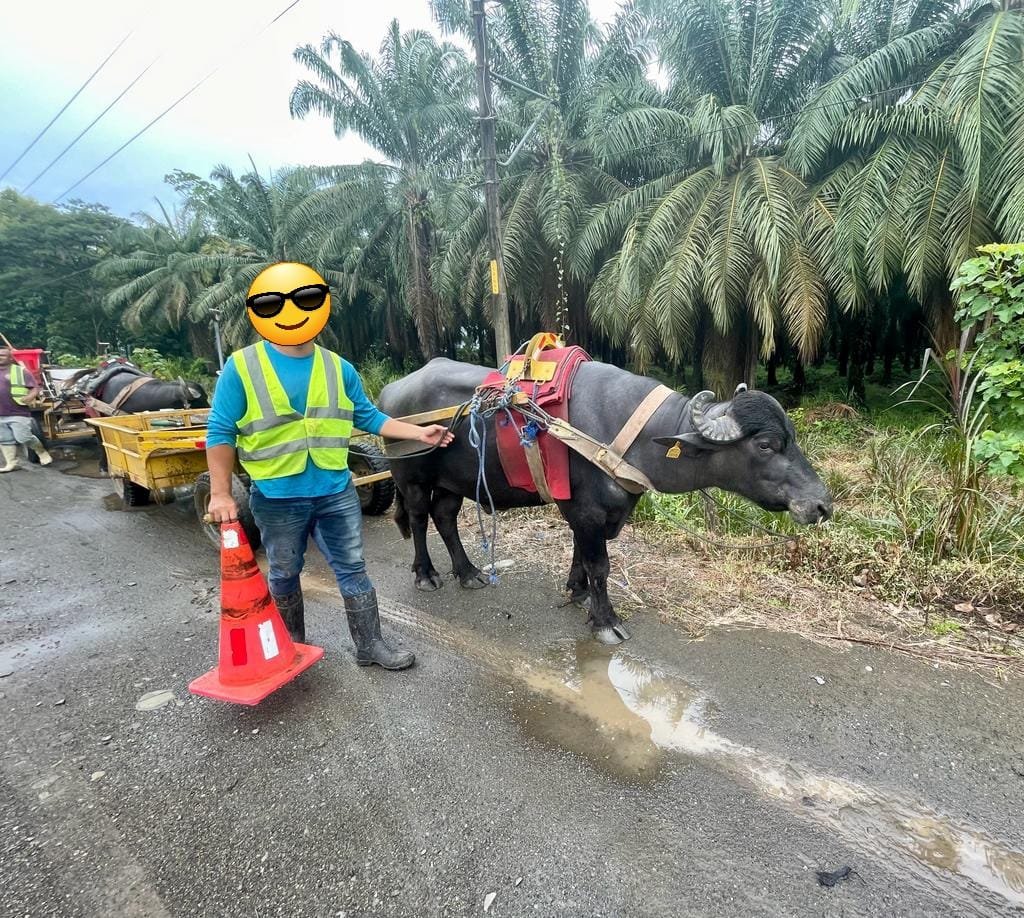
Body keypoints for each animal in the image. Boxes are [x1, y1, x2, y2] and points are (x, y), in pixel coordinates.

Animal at [376, 358, 831, 647]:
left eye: (791, 435)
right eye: (766, 444)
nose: (822, 504)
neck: (632, 432)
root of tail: (389, 392)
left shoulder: (603, 513)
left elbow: (582, 553)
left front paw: (578, 592)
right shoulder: (587, 511)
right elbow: (600, 565)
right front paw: (606, 620)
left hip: (453, 481)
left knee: (445, 516)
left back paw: (468, 572)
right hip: (410, 475)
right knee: (418, 517)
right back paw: (426, 573)